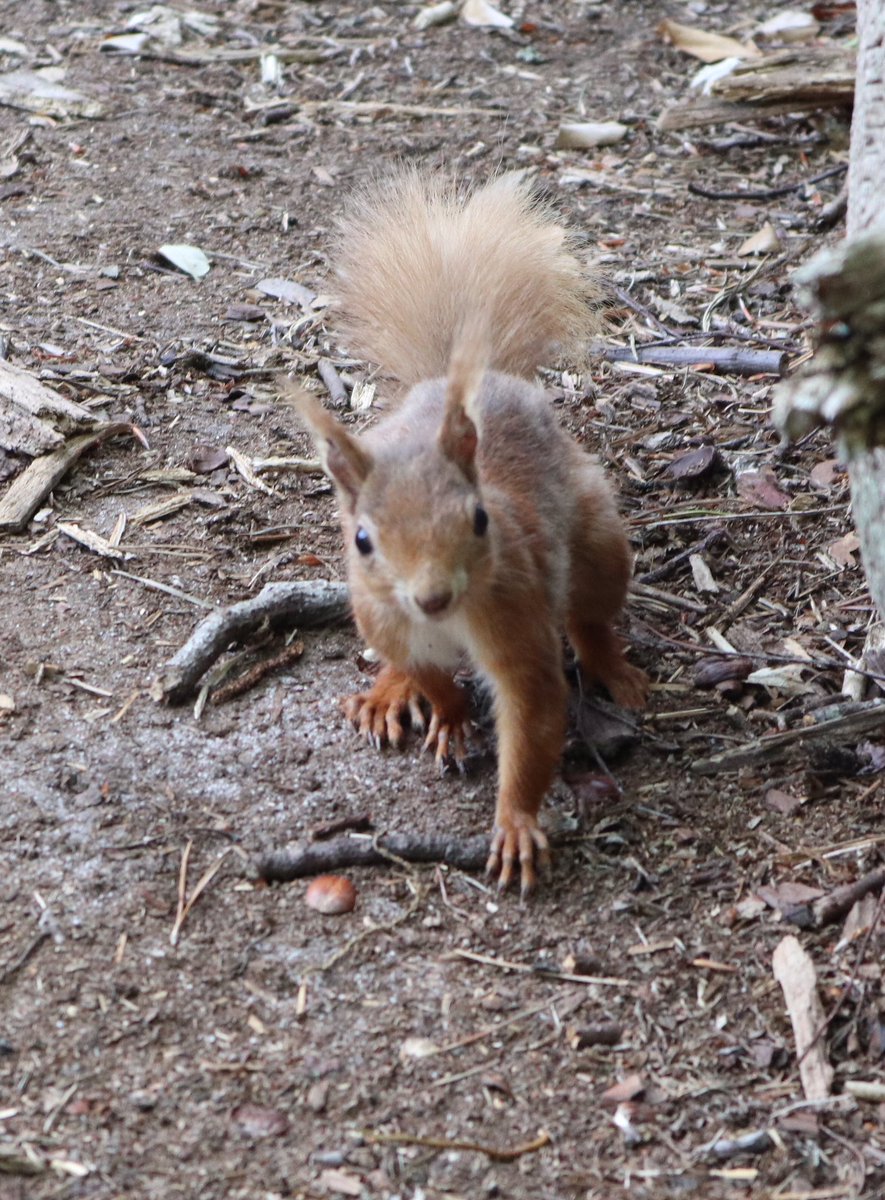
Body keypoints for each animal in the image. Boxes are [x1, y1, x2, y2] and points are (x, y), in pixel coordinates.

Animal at [291, 170, 648, 895]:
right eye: (362, 540)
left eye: (478, 519)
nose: (431, 597)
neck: (448, 621)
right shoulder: (388, 618)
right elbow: (432, 677)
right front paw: (448, 715)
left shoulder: (516, 623)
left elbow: (533, 717)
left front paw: (514, 824)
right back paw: (387, 693)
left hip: (597, 545)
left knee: (590, 616)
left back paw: (613, 669)